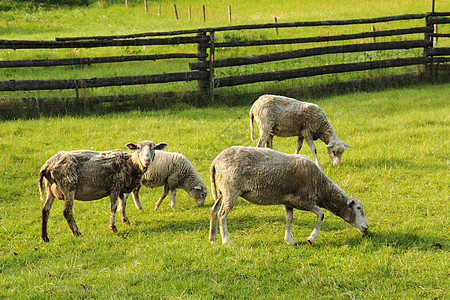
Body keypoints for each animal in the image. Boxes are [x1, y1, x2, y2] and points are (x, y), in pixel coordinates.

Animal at [37, 140, 168, 241]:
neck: (131, 163)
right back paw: (77, 233)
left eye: (154, 148)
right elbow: (114, 207)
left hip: (50, 188)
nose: (147, 160)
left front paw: (125, 221)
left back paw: (45, 237)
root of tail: (47, 165)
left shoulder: (121, 188)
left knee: (45, 210)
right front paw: (113, 228)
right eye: (138, 148)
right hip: (68, 186)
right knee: (67, 211)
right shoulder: (115, 187)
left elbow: (123, 204)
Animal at [209, 146, 368, 246]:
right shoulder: (305, 201)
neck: (322, 187)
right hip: (231, 189)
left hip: (223, 190)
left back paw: (212, 238)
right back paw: (226, 241)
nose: (366, 227)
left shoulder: (289, 202)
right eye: (359, 208)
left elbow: (289, 219)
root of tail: (215, 161)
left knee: (214, 210)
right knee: (222, 214)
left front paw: (289, 240)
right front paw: (311, 238)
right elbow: (321, 214)